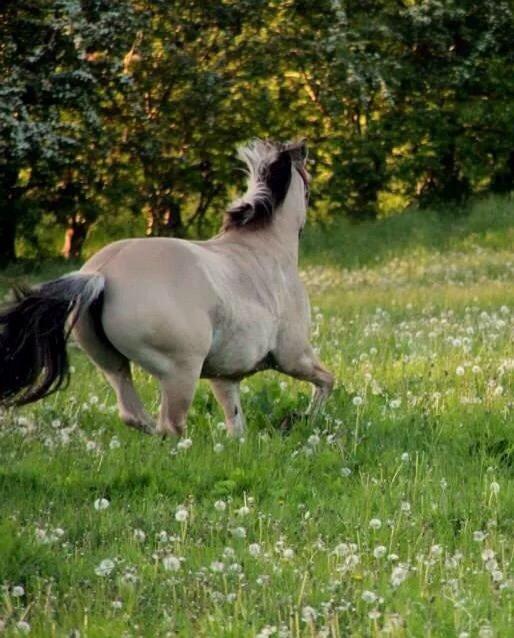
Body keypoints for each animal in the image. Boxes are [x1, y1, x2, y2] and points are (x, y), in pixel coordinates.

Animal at [0, 141, 332, 438]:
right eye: (306, 178)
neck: (264, 248)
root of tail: (101, 274)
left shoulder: (225, 377)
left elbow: (236, 425)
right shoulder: (293, 356)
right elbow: (327, 381)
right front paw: (304, 418)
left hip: (111, 364)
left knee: (133, 415)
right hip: (180, 372)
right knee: (170, 425)